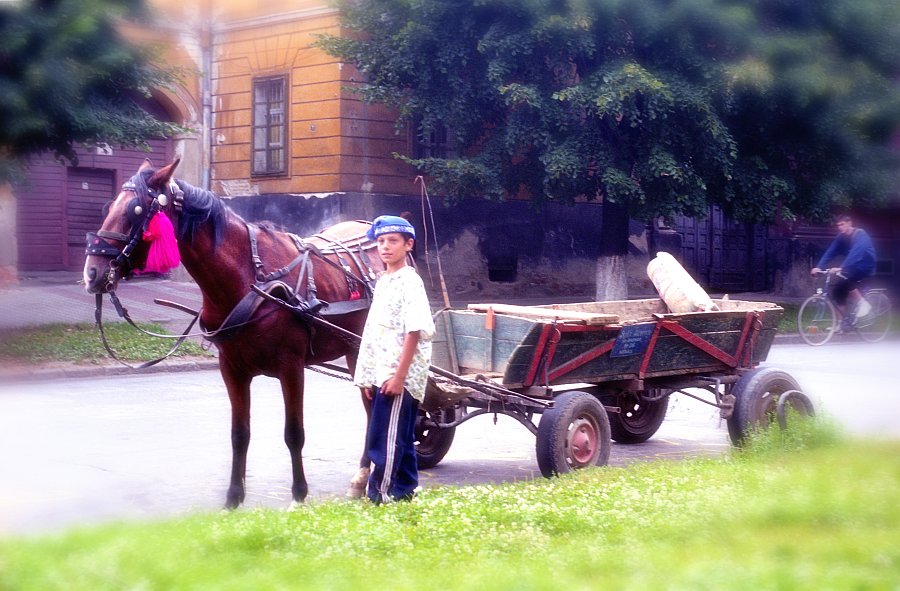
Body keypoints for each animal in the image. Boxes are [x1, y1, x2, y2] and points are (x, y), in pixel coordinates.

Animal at [83, 157, 376, 508]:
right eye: (109, 206)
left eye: (136, 211)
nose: (92, 273)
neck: (250, 279)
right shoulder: (232, 369)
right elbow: (240, 434)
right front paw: (233, 498)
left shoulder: (292, 368)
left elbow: (294, 433)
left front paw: (299, 495)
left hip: (361, 351)